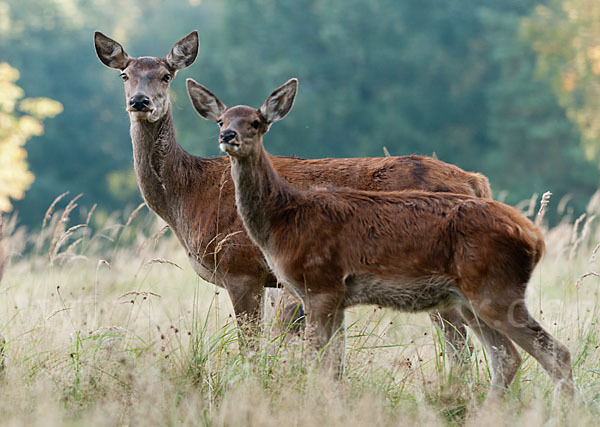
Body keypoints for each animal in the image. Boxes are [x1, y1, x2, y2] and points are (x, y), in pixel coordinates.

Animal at [94, 30, 488, 358]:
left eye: (166, 75)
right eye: (125, 75)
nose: (140, 102)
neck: (188, 196)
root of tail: (475, 181)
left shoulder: (241, 267)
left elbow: (251, 346)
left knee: (461, 343)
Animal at [189, 77, 576, 402]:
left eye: (255, 121)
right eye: (221, 120)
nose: (228, 136)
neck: (283, 217)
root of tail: (536, 238)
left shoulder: (320, 283)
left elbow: (318, 360)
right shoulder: (333, 297)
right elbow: (334, 363)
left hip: (495, 290)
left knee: (552, 353)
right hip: (472, 298)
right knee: (506, 358)